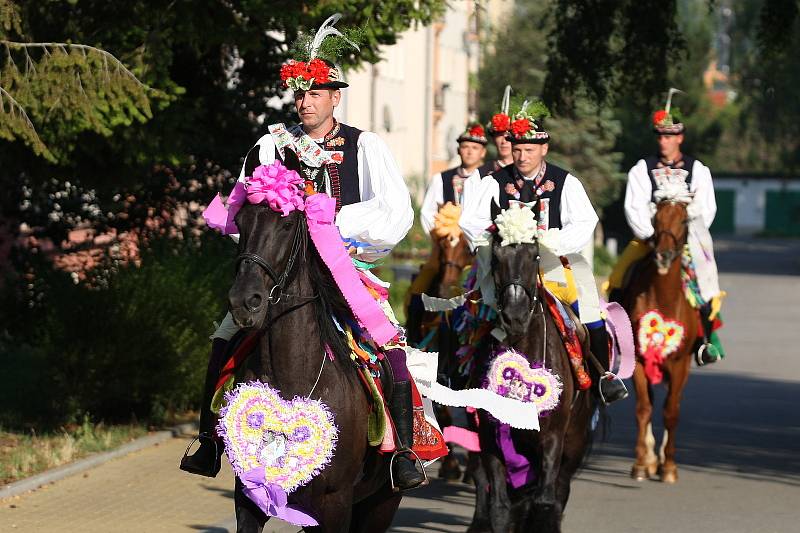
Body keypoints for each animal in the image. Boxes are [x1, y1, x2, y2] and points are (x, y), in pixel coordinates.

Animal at [228, 202, 404, 528]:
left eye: (286, 225)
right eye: (239, 221)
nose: (244, 302)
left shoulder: (336, 501)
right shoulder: (248, 494)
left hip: (382, 503)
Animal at [468, 225, 592, 532]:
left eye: (535, 255)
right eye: (495, 258)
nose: (515, 315)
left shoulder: (553, 438)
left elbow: (545, 503)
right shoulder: (490, 438)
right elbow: (500, 507)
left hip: (574, 444)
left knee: (558, 494)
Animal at [620, 200, 692, 482]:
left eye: (684, 220)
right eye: (655, 218)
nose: (663, 255)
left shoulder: (680, 364)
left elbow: (671, 412)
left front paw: (669, 466)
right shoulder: (640, 362)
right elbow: (644, 409)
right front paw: (642, 463)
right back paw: (652, 459)